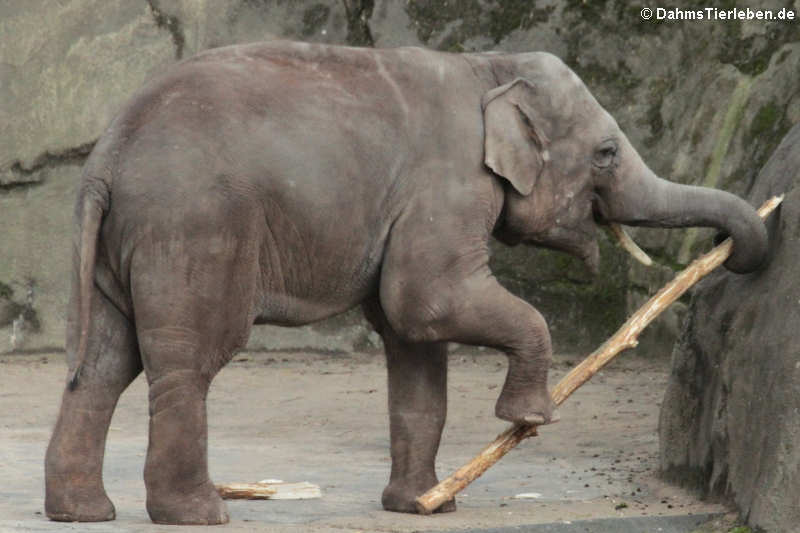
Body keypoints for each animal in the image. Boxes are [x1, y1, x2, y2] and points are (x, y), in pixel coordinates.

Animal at [43, 40, 768, 524]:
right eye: (607, 153)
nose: (735, 253)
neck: (488, 67)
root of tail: (107, 154)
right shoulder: (446, 185)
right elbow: (426, 301)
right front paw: (528, 418)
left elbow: (413, 341)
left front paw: (422, 505)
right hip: (194, 228)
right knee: (187, 361)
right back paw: (198, 514)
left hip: (121, 242)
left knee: (103, 363)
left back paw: (83, 512)